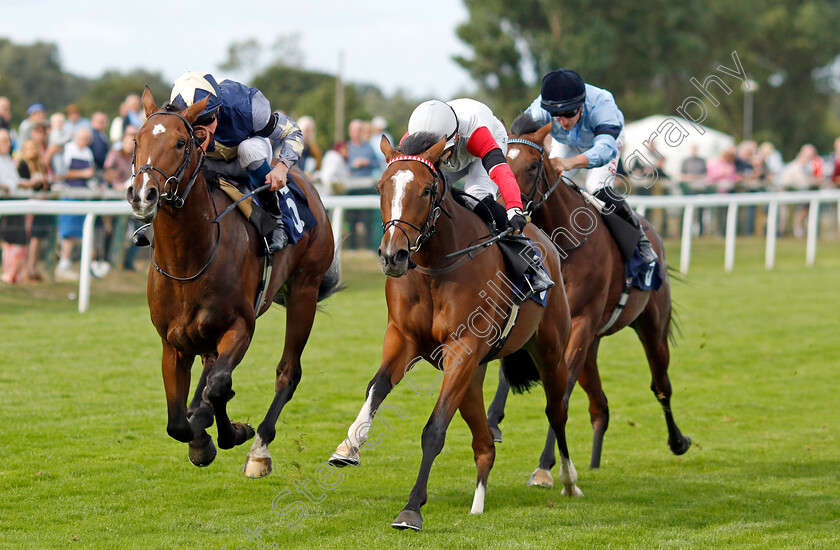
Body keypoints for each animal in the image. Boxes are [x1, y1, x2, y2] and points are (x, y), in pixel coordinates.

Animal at [126, 88, 340, 480]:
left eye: (180, 142)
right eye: (137, 140)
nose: (142, 193)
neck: (189, 260)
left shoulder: (240, 326)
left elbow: (220, 387)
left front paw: (232, 433)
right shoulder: (172, 343)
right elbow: (177, 422)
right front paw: (199, 436)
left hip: (304, 290)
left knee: (287, 373)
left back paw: (259, 450)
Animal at [324, 132, 580, 532]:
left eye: (427, 190)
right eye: (381, 187)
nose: (392, 256)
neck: (435, 266)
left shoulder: (462, 348)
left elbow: (434, 429)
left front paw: (411, 509)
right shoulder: (403, 338)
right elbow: (376, 387)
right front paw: (348, 446)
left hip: (549, 352)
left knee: (557, 410)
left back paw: (565, 478)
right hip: (474, 375)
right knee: (484, 441)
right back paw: (478, 503)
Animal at [488, 116, 692, 488]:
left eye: (534, 164)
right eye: (501, 162)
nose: (509, 212)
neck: (564, 246)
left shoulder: (582, 322)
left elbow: (561, 394)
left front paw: (545, 465)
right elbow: (507, 376)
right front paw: (494, 421)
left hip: (651, 326)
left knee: (661, 386)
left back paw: (677, 440)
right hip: (593, 345)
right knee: (600, 405)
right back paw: (595, 462)